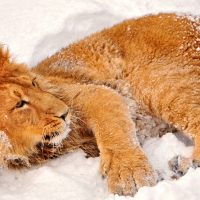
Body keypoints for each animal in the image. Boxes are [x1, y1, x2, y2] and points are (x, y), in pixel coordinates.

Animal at [1, 12, 200, 197]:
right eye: (20, 104)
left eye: (34, 83)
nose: (65, 113)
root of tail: (192, 17)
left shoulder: (93, 93)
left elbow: (112, 129)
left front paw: (130, 177)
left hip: (159, 84)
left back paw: (186, 164)